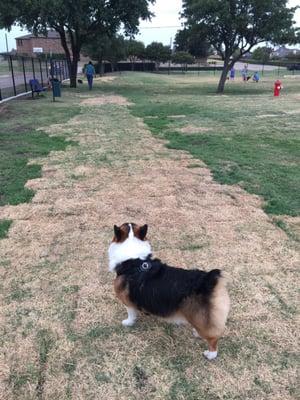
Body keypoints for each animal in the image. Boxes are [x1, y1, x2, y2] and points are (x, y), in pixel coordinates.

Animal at [109, 222, 231, 360]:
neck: (134, 259)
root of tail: (208, 280)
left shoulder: (127, 302)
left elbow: (130, 314)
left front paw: (128, 322)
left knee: (213, 338)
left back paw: (210, 354)